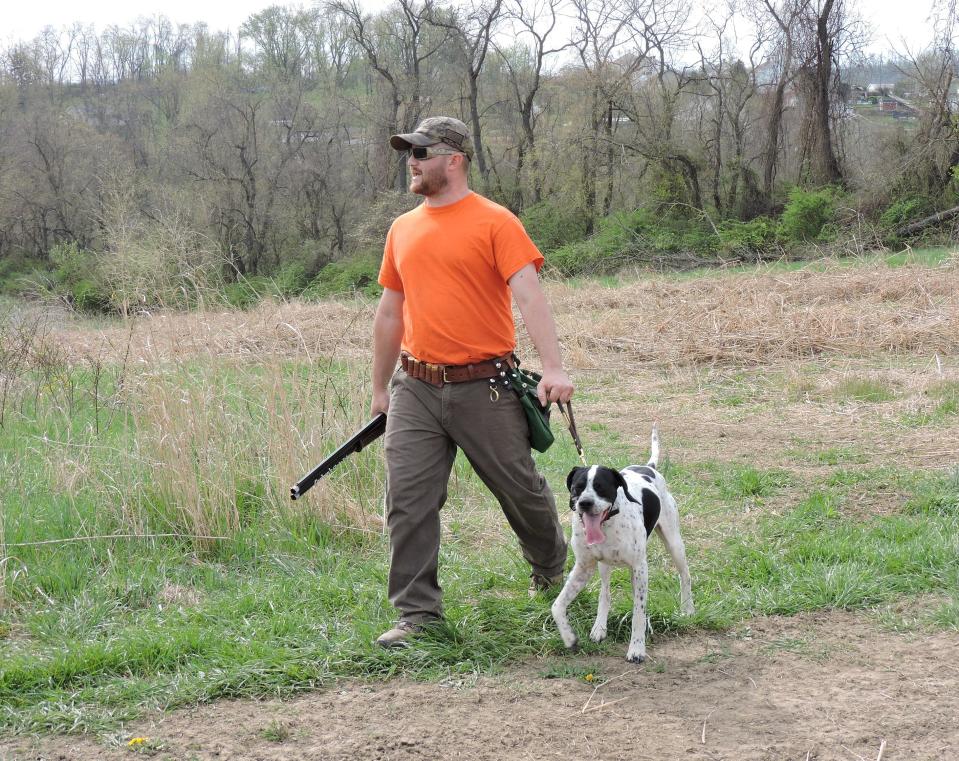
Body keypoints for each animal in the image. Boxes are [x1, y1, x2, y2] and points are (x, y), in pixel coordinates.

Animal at [552, 424, 692, 664]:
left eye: (601, 487)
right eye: (577, 487)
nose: (585, 503)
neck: (608, 524)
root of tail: (649, 467)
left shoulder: (640, 567)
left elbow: (639, 612)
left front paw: (637, 648)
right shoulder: (583, 567)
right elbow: (557, 606)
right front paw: (569, 637)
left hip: (673, 544)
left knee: (685, 575)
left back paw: (687, 610)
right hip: (605, 566)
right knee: (605, 593)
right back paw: (599, 628)